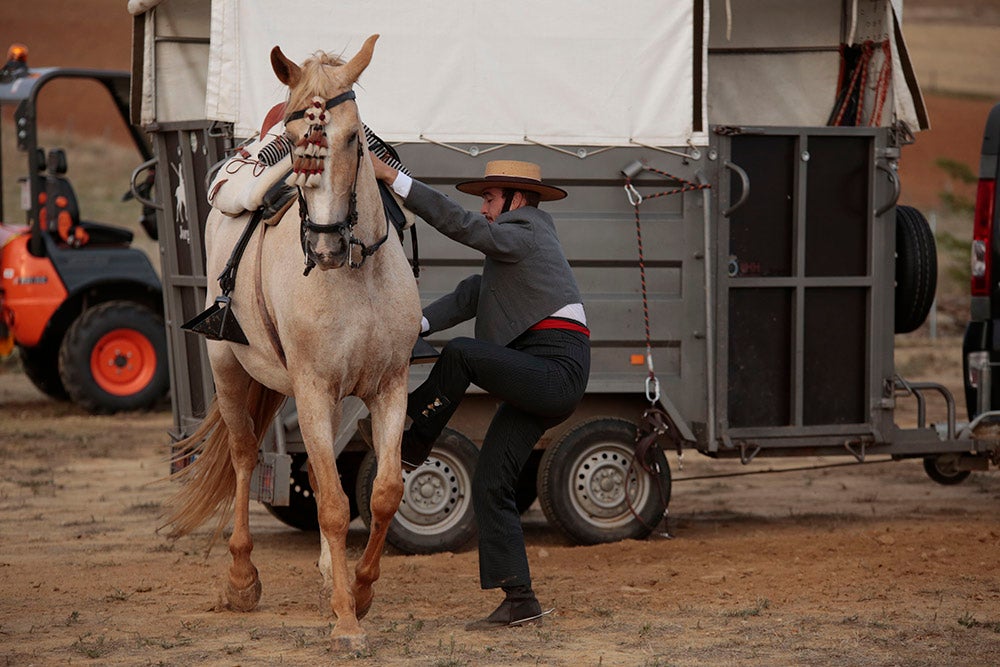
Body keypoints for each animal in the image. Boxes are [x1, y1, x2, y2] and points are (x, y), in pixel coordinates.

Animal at [162, 34, 420, 648]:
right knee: (243, 456)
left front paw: (360, 591)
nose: (323, 245)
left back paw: (329, 576)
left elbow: (382, 493)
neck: (356, 276)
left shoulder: (388, 388)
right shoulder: (313, 389)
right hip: (231, 373)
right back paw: (241, 578)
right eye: (295, 139)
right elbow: (333, 505)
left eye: (352, 138)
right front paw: (347, 621)